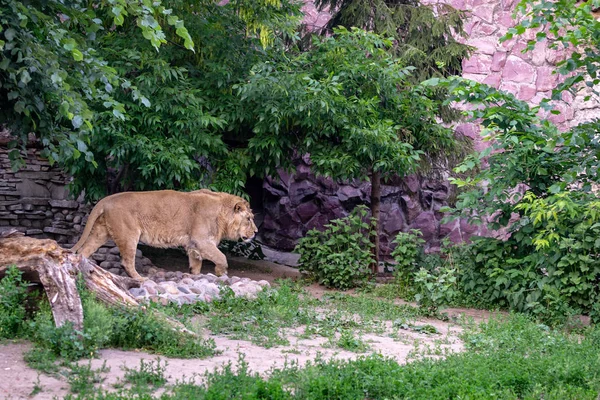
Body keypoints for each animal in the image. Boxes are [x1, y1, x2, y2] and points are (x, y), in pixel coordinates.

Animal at [71, 190, 258, 282]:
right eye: (249, 219)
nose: (256, 232)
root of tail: (106, 199)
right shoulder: (201, 240)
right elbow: (221, 257)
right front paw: (220, 272)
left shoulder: (193, 245)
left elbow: (196, 265)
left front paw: (194, 277)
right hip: (129, 234)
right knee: (127, 261)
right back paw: (140, 278)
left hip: (100, 233)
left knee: (84, 251)